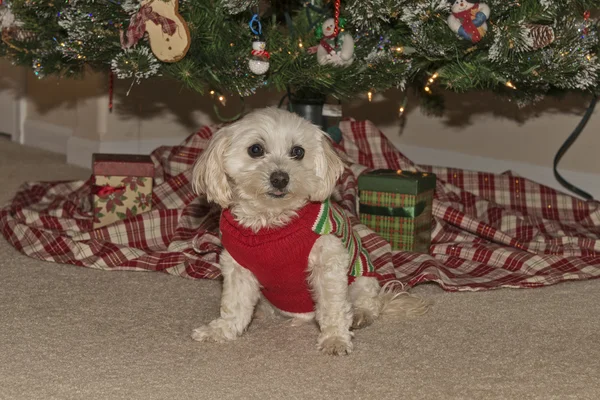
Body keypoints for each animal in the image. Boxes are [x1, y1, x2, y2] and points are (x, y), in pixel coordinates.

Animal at [190, 108, 428, 354]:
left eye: (298, 151)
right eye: (255, 149)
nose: (280, 178)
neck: (271, 222)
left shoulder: (328, 263)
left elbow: (333, 308)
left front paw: (335, 339)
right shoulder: (237, 268)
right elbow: (234, 308)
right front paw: (221, 330)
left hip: (362, 278)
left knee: (369, 304)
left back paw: (360, 315)